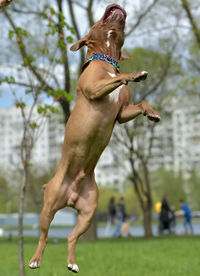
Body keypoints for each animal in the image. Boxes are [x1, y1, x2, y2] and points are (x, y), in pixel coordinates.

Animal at [28, 3, 160, 272]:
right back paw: (35, 260)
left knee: (71, 237)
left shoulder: (123, 113)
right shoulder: (93, 89)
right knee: (44, 236)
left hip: (88, 213)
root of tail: (70, 195)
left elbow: (140, 104)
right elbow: (120, 77)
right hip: (48, 209)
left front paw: (151, 112)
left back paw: (72, 263)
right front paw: (135, 74)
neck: (107, 60)